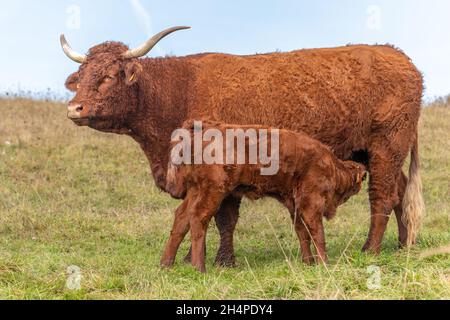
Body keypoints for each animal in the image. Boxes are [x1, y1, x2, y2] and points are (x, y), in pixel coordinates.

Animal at [163, 121, 368, 272]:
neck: (332, 166)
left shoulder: (294, 205)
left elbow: (302, 233)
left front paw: (308, 262)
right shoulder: (311, 203)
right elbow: (317, 233)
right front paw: (324, 263)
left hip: (195, 190)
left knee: (182, 217)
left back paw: (166, 264)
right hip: (212, 191)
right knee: (198, 217)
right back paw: (199, 268)